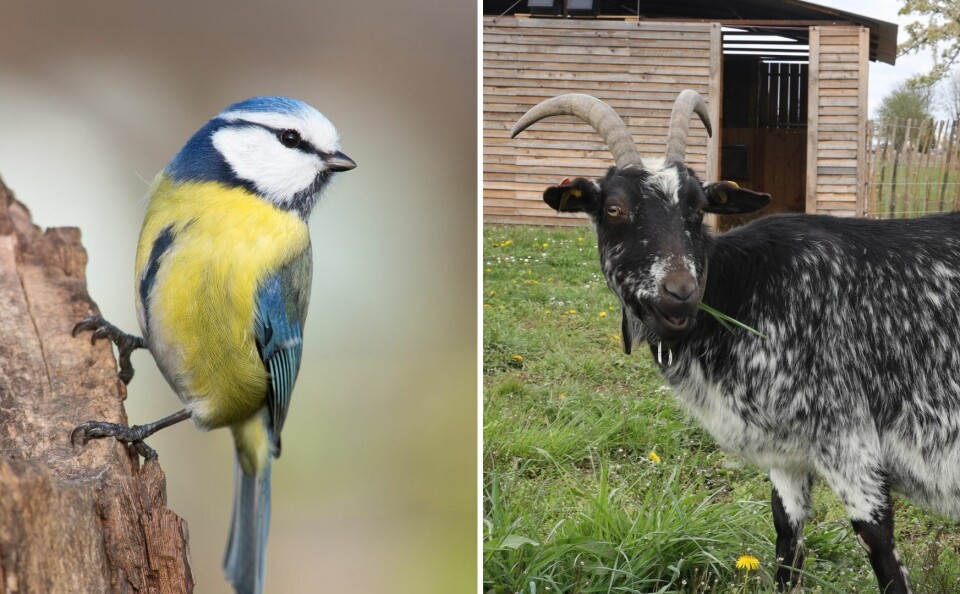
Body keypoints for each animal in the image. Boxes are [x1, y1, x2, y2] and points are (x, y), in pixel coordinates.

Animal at [512, 89, 960, 592]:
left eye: (696, 208)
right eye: (613, 209)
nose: (681, 292)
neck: (746, 294)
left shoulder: (847, 439)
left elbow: (881, 552)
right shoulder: (788, 455)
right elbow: (787, 545)